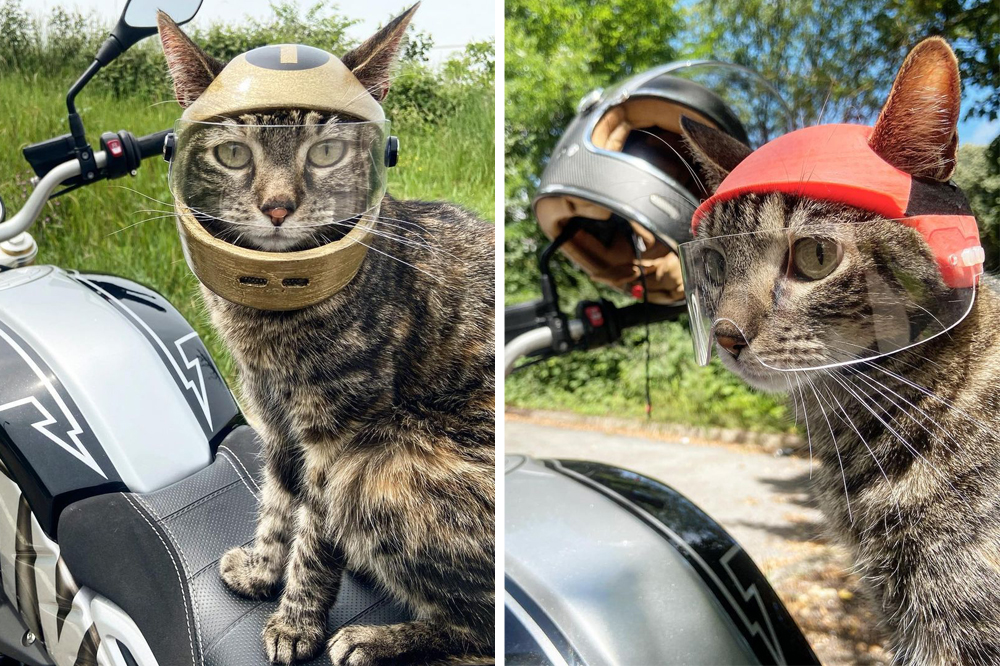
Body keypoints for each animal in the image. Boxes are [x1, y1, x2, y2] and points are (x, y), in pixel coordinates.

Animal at [156, 7, 496, 660]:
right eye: (233, 154)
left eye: (328, 152)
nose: (277, 207)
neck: (268, 317)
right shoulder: (274, 420)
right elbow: (274, 502)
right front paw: (264, 570)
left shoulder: (335, 439)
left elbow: (314, 538)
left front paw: (296, 624)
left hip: (381, 469)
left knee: (482, 630)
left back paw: (376, 638)